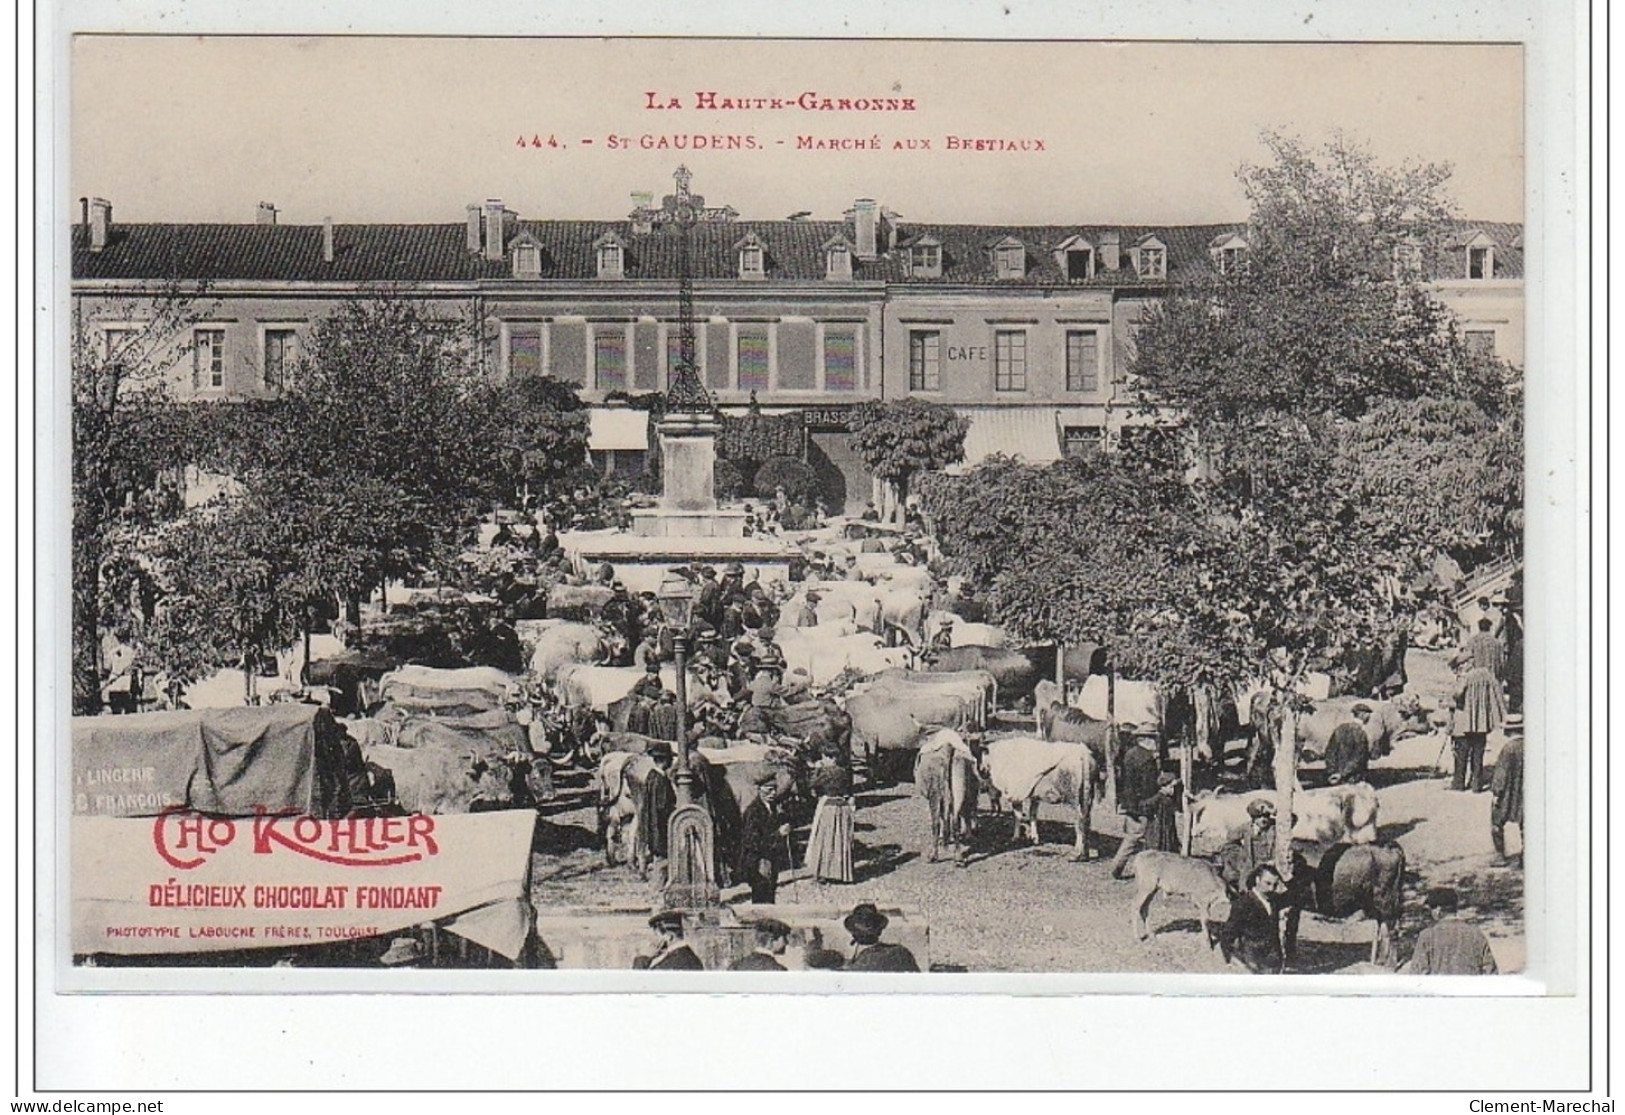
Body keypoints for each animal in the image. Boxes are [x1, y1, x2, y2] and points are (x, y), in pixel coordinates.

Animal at [916, 734, 975, 864]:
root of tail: (947, 747)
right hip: (959, 787)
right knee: (956, 820)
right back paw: (958, 857)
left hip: (935, 794)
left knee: (936, 823)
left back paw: (933, 856)